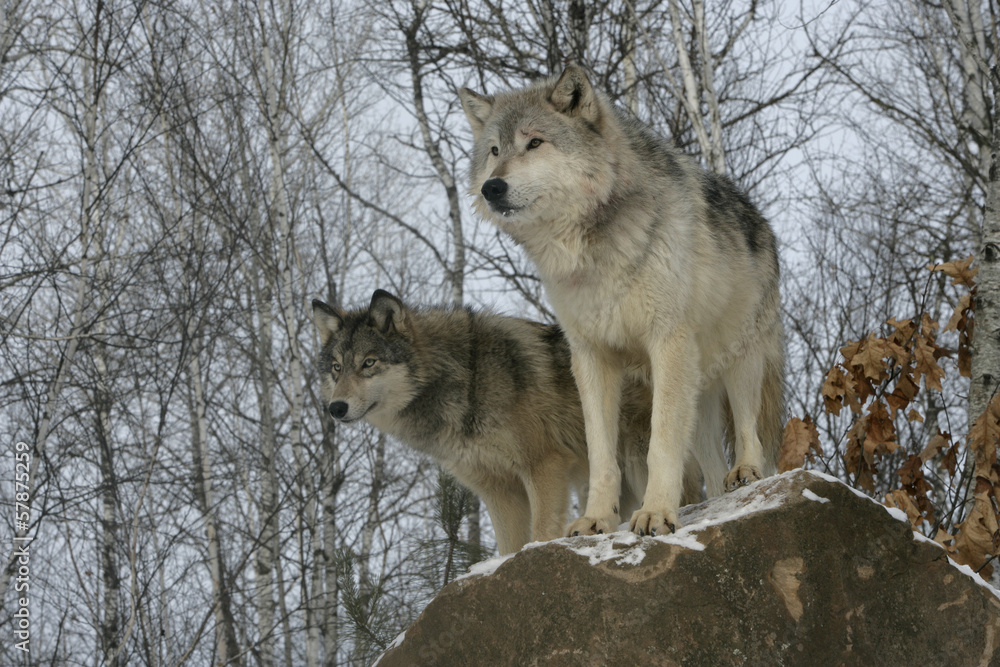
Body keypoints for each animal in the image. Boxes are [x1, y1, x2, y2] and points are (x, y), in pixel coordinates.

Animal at [312, 290, 703, 554]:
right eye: (336, 368)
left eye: (369, 363)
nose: (336, 408)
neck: (467, 377)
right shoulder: (498, 490)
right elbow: (509, 547)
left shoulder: (544, 466)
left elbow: (541, 531)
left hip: (641, 463)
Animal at [459, 65, 785, 538]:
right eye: (494, 150)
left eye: (535, 142)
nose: (491, 187)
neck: (591, 249)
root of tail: (759, 216)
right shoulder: (590, 357)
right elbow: (601, 454)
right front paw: (595, 518)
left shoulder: (667, 342)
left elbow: (661, 443)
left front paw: (656, 513)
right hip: (697, 387)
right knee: (707, 456)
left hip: (739, 360)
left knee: (747, 429)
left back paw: (746, 473)